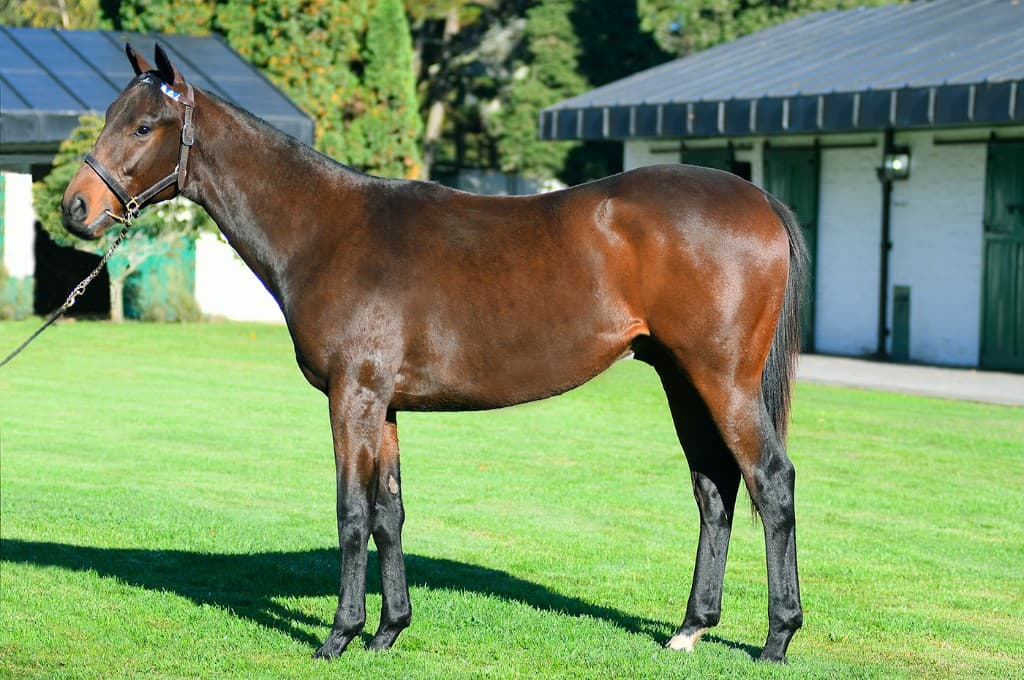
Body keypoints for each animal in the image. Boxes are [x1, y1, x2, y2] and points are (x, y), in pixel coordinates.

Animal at [61, 44, 808, 663]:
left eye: (144, 125)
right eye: (113, 116)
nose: (75, 208)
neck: (326, 230)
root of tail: (760, 199)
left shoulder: (352, 397)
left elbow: (352, 512)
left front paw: (340, 634)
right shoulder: (382, 405)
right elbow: (389, 513)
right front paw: (389, 630)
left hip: (723, 382)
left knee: (771, 482)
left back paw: (776, 638)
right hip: (683, 381)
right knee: (715, 489)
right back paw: (690, 629)